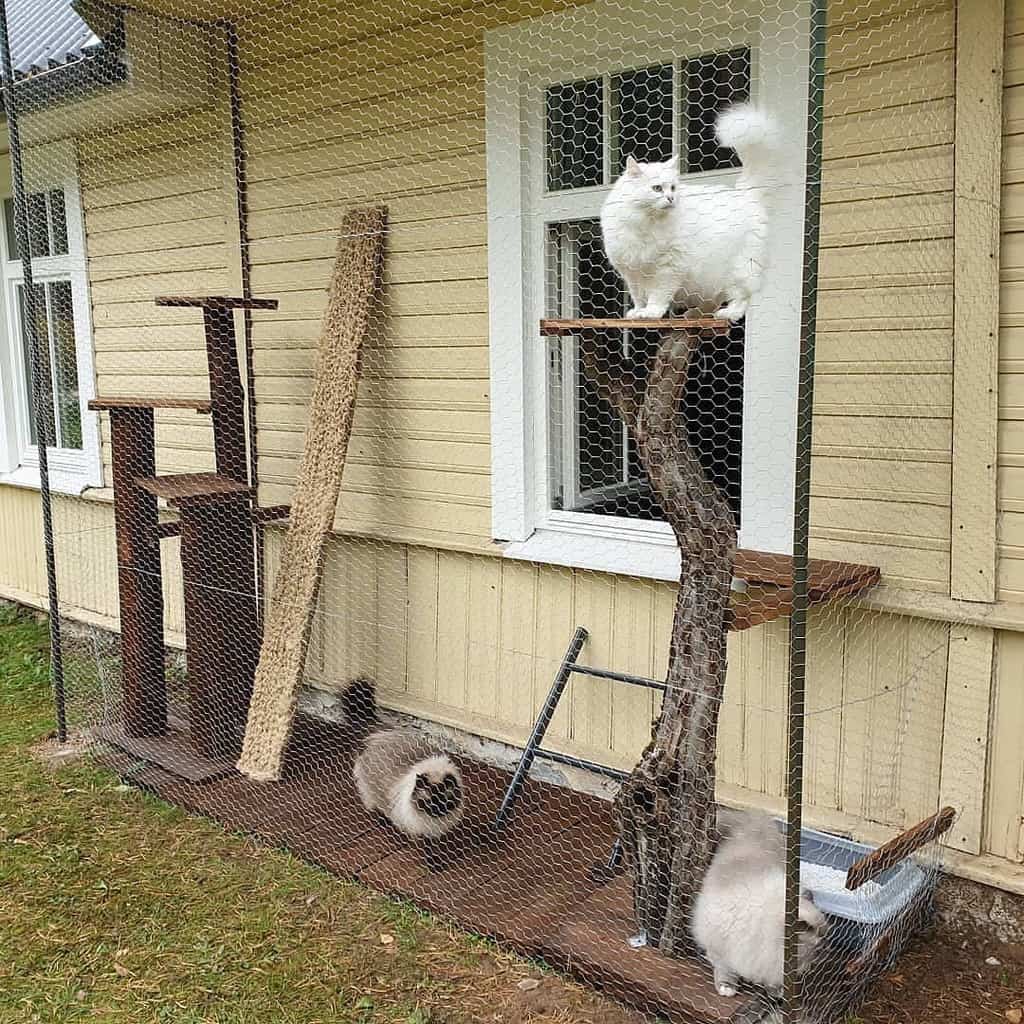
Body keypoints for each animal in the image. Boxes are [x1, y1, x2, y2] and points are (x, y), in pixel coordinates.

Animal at [692, 806, 827, 991]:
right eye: (813, 949)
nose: (809, 968)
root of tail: (749, 815)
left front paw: (776, 991)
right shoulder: (719, 949)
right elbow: (724, 970)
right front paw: (727, 988)